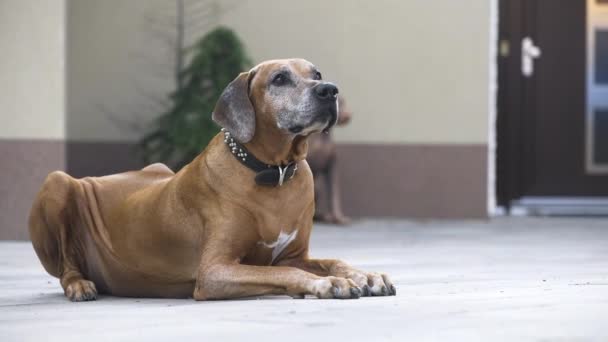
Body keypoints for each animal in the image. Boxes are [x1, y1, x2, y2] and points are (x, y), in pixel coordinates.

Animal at [308, 96, 352, 224]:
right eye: (339, 103)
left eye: (345, 103)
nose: (348, 115)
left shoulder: (332, 167)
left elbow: (333, 193)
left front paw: (338, 217)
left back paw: (324, 216)